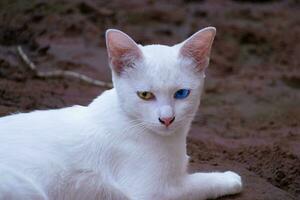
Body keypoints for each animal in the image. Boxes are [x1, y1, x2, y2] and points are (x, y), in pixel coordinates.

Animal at [0, 27, 241, 200]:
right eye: (145, 95)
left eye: (182, 93)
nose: (167, 119)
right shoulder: (153, 192)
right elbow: (196, 185)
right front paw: (230, 179)